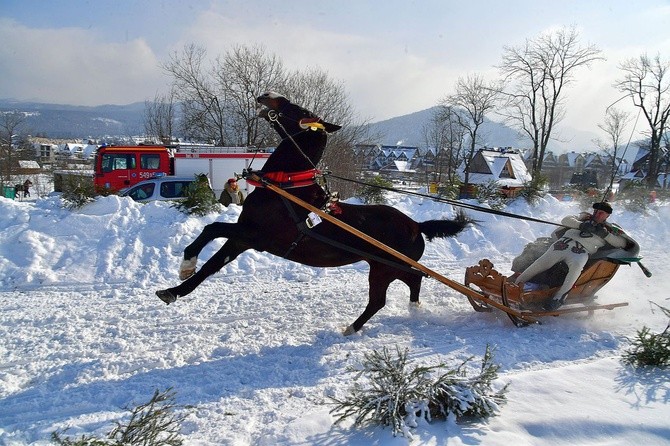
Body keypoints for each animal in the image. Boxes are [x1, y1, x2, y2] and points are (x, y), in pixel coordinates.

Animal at [159, 91, 472, 334]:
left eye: (300, 110)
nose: (268, 94)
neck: (285, 185)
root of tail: (416, 225)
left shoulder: (255, 235)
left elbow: (212, 228)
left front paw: (186, 262)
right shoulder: (241, 239)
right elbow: (211, 264)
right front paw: (177, 287)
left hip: (384, 269)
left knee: (379, 300)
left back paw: (352, 328)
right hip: (394, 267)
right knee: (415, 279)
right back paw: (413, 309)